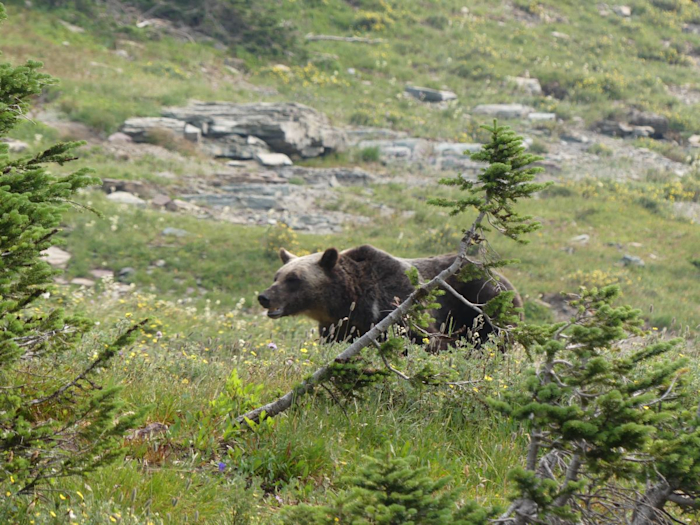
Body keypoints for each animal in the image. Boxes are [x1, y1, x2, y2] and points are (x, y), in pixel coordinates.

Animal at [257, 244, 522, 347]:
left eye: (294, 279)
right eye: (277, 276)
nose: (264, 297)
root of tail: (508, 283)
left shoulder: (399, 305)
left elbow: (423, 339)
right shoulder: (338, 327)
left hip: (484, 308)